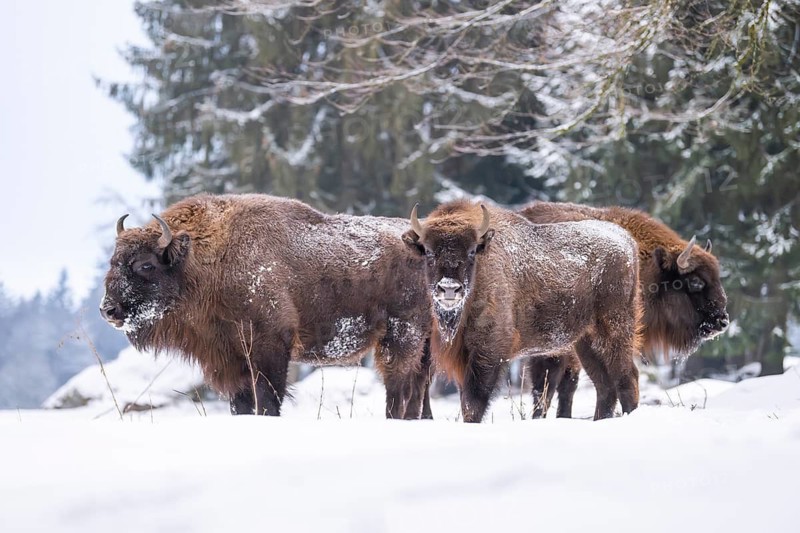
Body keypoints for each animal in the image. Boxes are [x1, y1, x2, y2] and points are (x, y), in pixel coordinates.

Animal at [101, 194, 432, 418]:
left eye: (145, 265)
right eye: (113, 261)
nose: (108, 310)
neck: (207, 259)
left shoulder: (270, 347)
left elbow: (268, 400)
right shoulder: (231, 360)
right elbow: (242, 403)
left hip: (402, 335)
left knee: (400, 386)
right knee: (420, 385)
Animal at [403, 201, 642, 422]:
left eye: (471, 251)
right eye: (429, 252)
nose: (449, 288)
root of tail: (627, 241)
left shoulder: (488, 353)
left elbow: (473, 402)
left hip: (614, 329)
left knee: (626, 377)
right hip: (585, 341)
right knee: (604, 385)